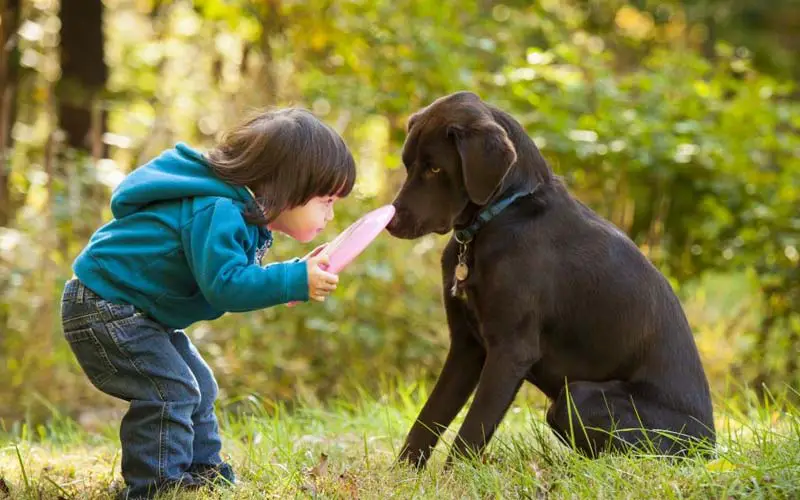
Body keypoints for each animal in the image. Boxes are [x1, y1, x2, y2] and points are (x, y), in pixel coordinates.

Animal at [384, 92, 716, 466]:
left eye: (436, 168)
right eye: (408, 164)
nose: (390, 223)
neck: (501, 215)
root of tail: (710, 446)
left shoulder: (511, 350)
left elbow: (469, 434)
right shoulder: (466, 346)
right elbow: (427, 420)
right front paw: (402, 475)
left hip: (578, 398)